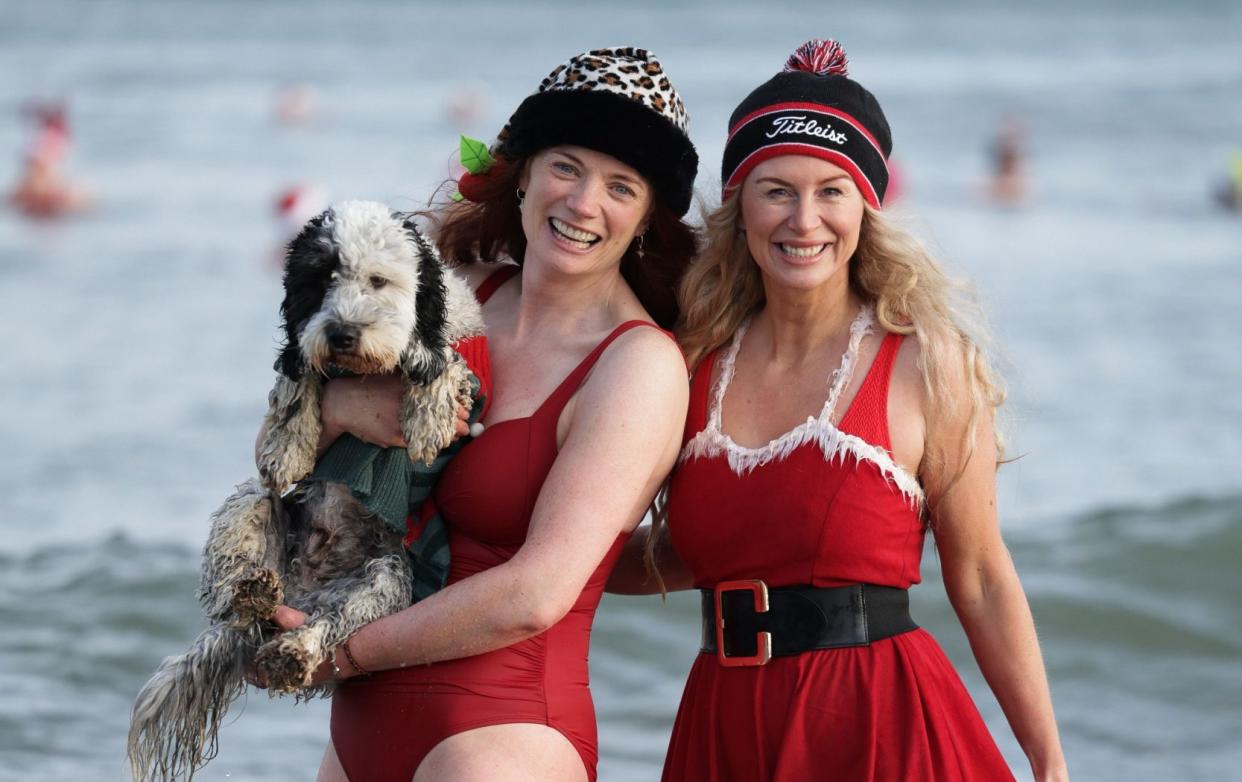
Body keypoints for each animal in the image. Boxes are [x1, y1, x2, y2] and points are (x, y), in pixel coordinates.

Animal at [127, 203, 484, 782]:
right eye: (319, 280)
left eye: (378, 280)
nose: (341, 333)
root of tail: (299, 593)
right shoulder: (304, 353)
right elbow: (296, 380)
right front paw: (288, 445)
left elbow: (445, 361)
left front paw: (428, 411)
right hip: (251, 505)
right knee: (233, 596)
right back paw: (251, 592)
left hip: (386, 579)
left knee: (329, 626)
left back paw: (294, 650)